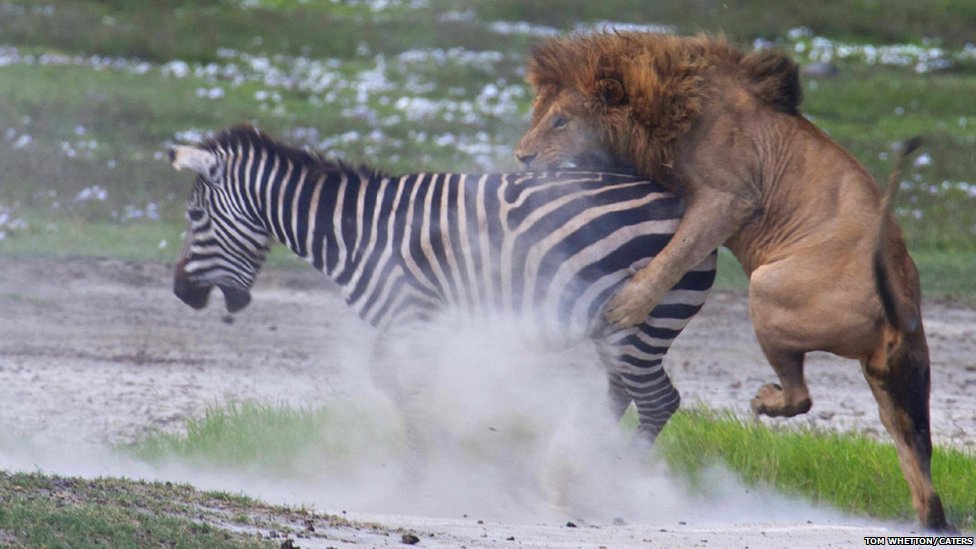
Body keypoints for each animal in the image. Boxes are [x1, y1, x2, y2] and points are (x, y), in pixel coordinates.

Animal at [170, 125, 716, 446]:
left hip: (643, 324)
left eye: (194, 216)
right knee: (623, 394)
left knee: (658, 401)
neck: (359, 231)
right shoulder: (413, 326)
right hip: (617, 330)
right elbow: (403, 385)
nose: (180, 293)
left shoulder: (414, 316)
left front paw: (423, 473)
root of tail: (682, 205)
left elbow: (405, 389)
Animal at [516, 32, 948, 528]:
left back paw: (764, 401)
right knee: (919, 463)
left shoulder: (728, 199)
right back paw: (929, 517)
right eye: (537, 112)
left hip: (766, 289)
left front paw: (628, 304)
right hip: (901, 384)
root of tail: (899, 306)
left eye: (560, 120)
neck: (668, 107)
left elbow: (677, 252)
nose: (522, 156)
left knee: (801, 396)